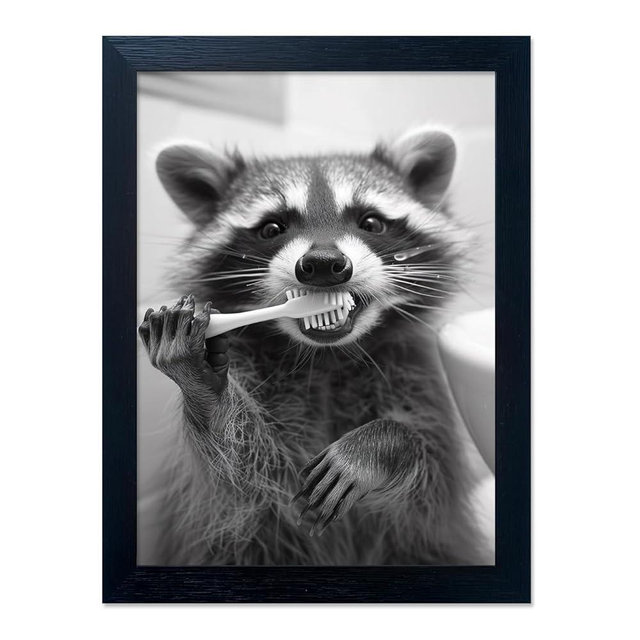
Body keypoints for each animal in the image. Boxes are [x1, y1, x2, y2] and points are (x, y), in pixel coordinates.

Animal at [138, 126, 489, 565]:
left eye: (371, 222)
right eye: (272, 228)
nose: (323, 264)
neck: (326, 357)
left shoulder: (418, 382)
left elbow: (427, 491)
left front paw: (383, 444)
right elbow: (242, 479)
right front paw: (206, 390)